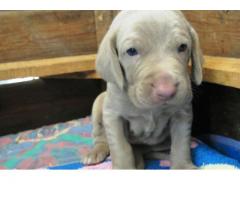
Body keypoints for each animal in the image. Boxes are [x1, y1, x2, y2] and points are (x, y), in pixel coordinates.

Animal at [82, 10, 202, 169]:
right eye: (131, 51)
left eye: (182, 47)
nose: (166, 90)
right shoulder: (113, 115)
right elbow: (121, 147)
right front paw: (124, 168)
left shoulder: (182, 112)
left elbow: (181, 142)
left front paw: (182, 166)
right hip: (98, 103)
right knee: (101, 136)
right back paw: (96, 152)